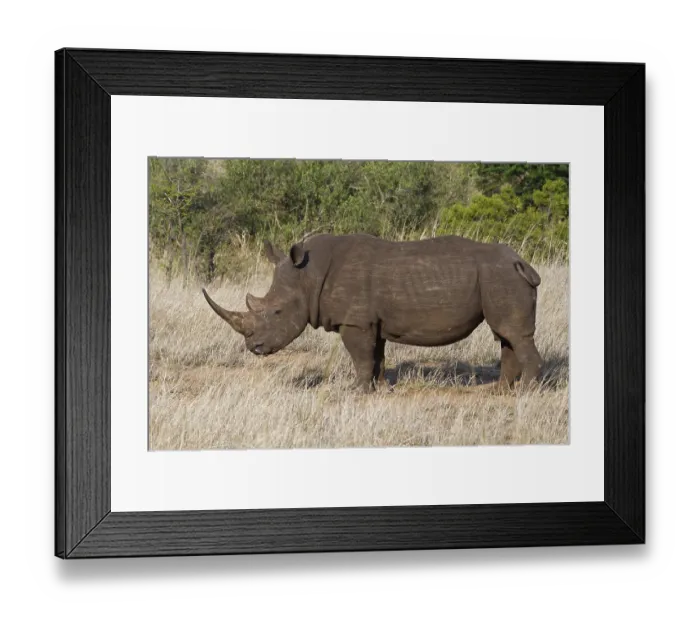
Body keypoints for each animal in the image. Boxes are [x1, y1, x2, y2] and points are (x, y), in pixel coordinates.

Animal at [202, 234, 544, 391]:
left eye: (277, 311)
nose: (254, 347)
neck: (309, 276)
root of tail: (522, 262)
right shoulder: (370, 321)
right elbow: (377, 355)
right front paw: (380, 389)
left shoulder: (354, 322)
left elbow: (361, 357)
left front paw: (356, 391)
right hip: (499, 278)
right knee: (505, 335)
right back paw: (499, 391)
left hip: (501, 278)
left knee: (514, 335)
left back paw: (523, 394)